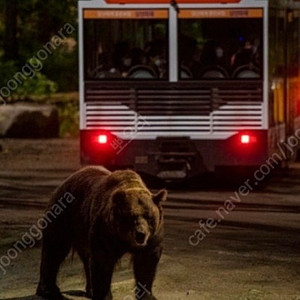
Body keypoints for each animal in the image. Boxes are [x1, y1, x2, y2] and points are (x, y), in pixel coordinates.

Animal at [36, 166, 168, 300]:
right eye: (131, 217)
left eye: (149, 217)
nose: (140, 234)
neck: (124, 237)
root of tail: (64, 183)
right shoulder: (105, 232)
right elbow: (102, 262)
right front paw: (104, 295)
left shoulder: (152, 237)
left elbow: (146, 262)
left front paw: (147, 295)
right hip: (64, 216)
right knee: (54, 248)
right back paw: (49, 290)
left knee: (84, 256)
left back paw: (89, 290)